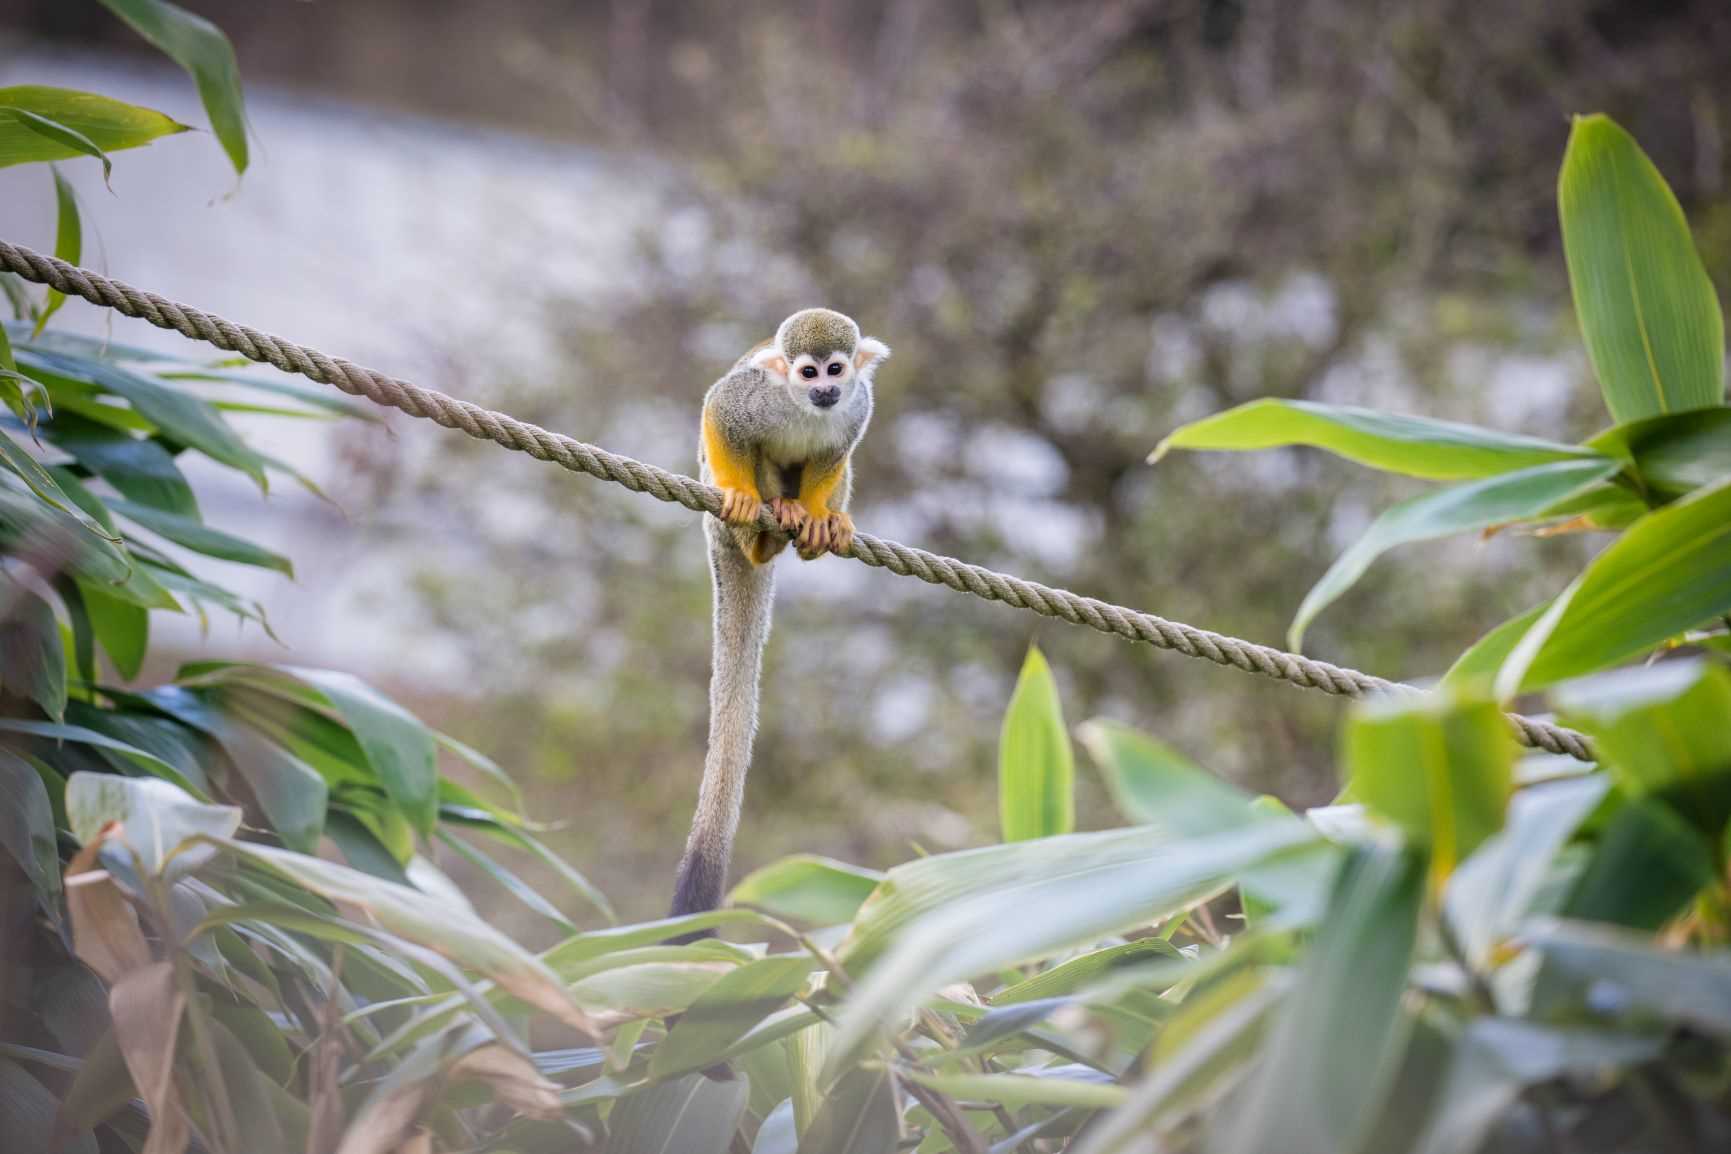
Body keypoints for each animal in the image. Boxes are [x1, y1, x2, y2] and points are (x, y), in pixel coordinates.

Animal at [671, 306, 893, 920]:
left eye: (836, 369)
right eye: (808, 372)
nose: (825, 390)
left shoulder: (859, 406)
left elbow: (834, 453)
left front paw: (817, 515)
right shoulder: (753, 398)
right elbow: (720, 411)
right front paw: (741, 496)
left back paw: (815, 523)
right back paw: (760, 533)